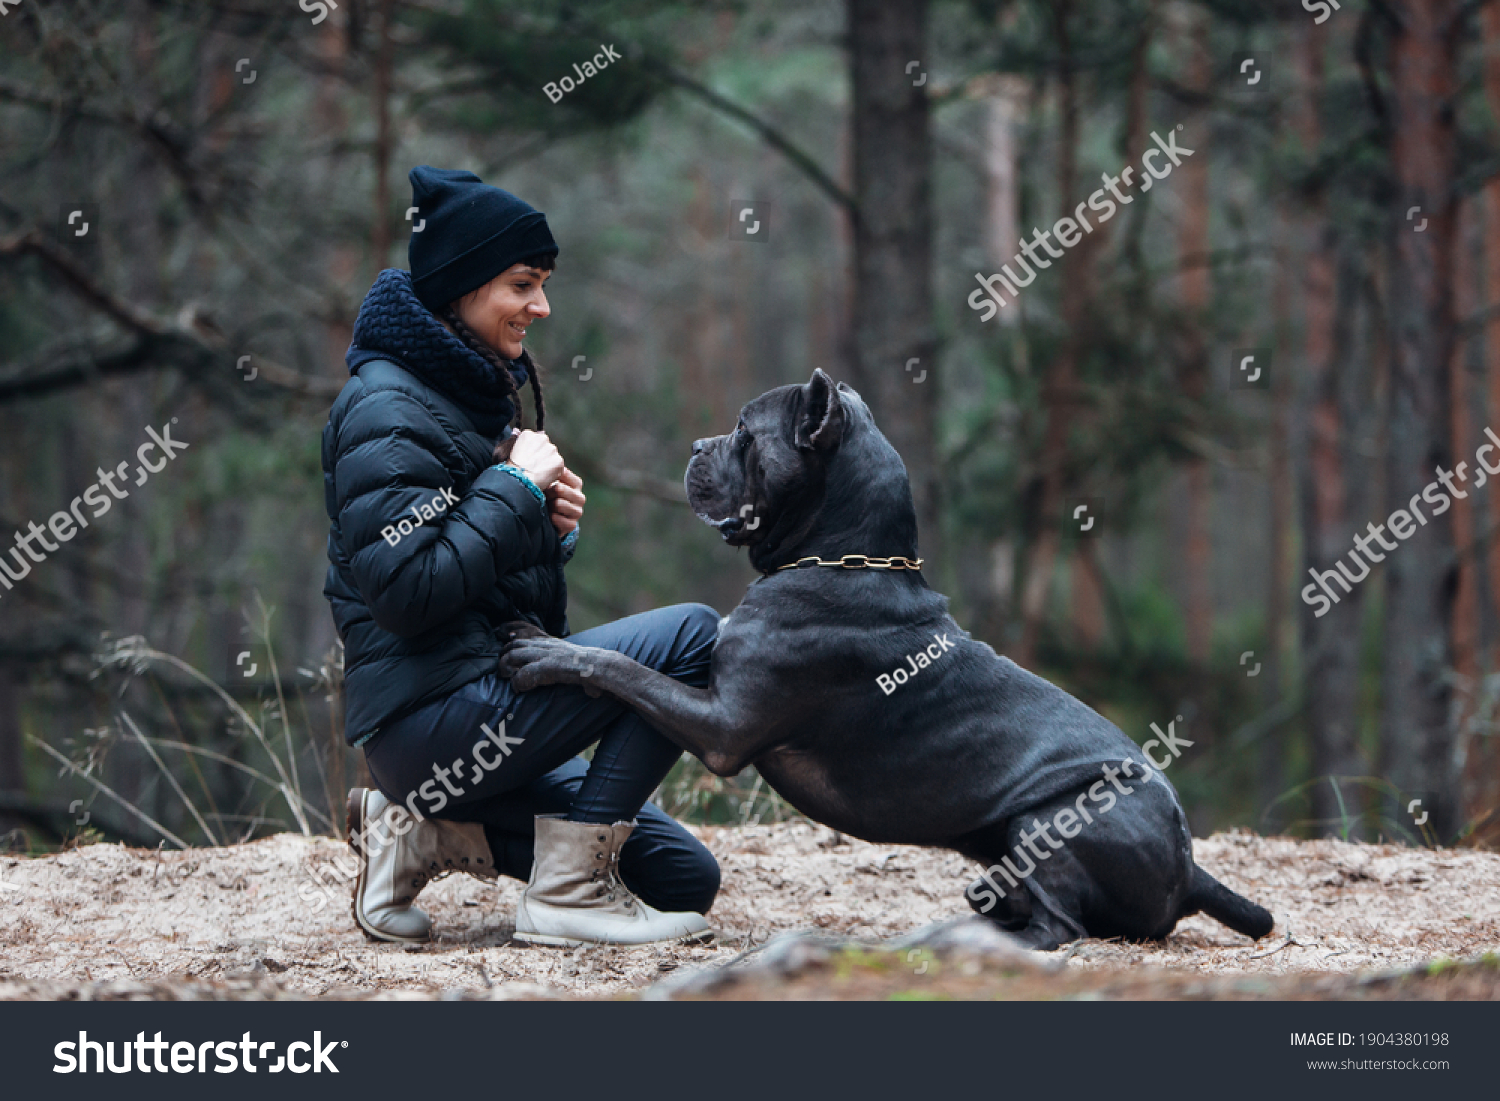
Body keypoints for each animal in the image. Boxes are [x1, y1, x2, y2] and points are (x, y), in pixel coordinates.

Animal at [498, 373, 1272, 960]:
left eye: (745, 431)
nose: (695, 445)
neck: (840, 557)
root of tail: (1191, 869)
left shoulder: (723, 726)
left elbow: (622, 667)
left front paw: (545, 651)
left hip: (1053, 817)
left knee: (1060, 928)